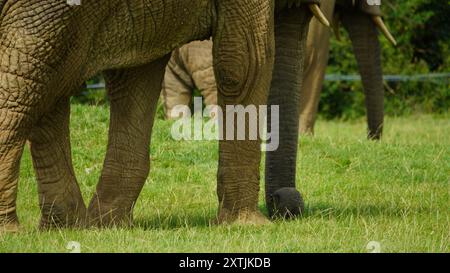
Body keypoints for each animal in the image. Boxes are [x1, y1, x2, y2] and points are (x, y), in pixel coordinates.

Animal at [0, 0, 326, 232]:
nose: (285, 202)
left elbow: (137, 73)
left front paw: (108, 226)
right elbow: (246, 63)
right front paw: (247, 226)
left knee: (50, 79)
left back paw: (66, 226)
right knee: (37, 72)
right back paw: (15, 230)